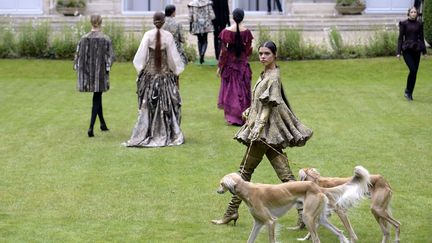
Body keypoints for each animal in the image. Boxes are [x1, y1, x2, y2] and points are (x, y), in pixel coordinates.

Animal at [216, 166, 372, 242]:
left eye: (221, 183)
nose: (217, 190)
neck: (247, 189)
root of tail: (317, 187)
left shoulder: (270, 221)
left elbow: (272, 239)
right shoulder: (259, 223)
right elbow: (250, 239)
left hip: (308, 217)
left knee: (316, 239)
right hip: (320, 218)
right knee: (339, 232)